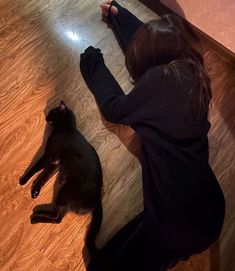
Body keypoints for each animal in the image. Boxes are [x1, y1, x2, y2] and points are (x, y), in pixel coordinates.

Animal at [19, 101, 102, 256]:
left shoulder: (49, 157)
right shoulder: (54, 163)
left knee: (56, 217)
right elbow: (43, 177)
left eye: (52, 112)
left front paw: (23, 180)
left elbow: (34, 169)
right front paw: (35, 191)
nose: (45, 117)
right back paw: (38, 213)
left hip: (64, 193)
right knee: (58, 218)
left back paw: (36, 217)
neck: (66, 129)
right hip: (64, 196)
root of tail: (98, 198)